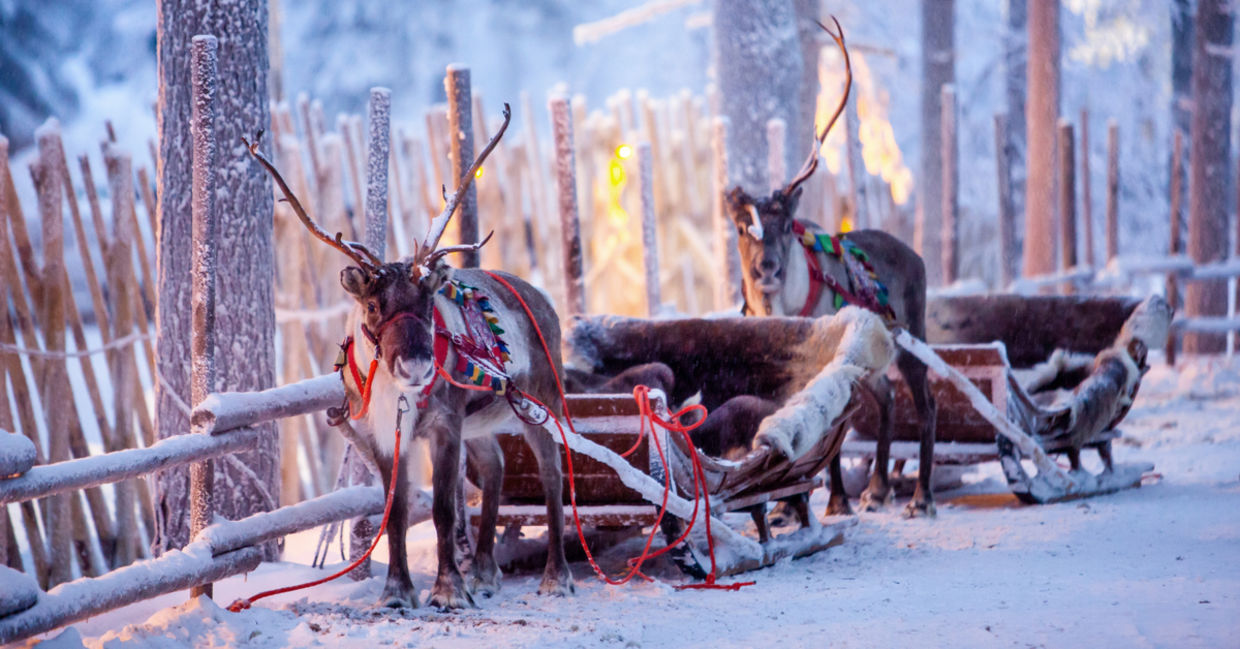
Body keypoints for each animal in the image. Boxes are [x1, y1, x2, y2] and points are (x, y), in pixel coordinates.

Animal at [245, 104, 575, 610]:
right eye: (372, 305)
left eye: (427, 301)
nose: (416, 367)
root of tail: (543, 299)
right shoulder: (382, 433)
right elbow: (395, 513)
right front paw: (397, 591)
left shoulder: (445, 424)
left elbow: (442, 510)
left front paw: (448, 590)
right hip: (481, 421)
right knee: (496, 465)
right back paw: (485, 573)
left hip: (541, 403)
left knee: (552, 475)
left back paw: (556, 577)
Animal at [724, 18, 938, 518]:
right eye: (743, 227)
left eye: (786, 224)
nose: (766, 268)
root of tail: (915, 254)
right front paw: (785, 506)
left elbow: (830, 437)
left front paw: (836, 500)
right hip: (874, 361)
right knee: (888, 399)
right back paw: (877, 488)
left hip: (912, 337)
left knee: (926, 404)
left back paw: (920, 496)